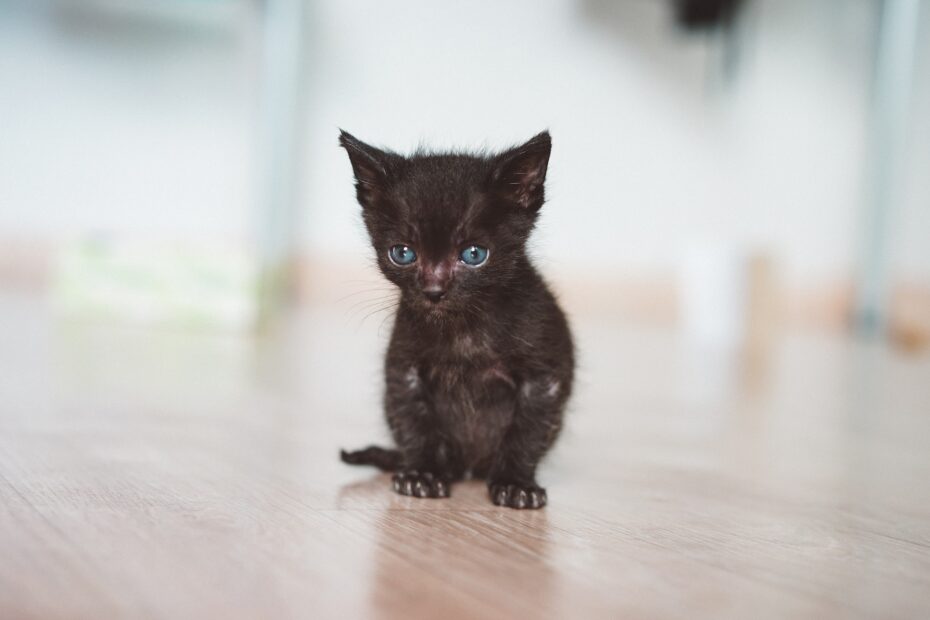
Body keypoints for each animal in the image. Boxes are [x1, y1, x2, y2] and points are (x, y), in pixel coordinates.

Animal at [338, 130, 572, 508]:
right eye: (402, 253)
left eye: (473, 254)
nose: (433, 290)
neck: (464, 331)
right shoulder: (404, 366)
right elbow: (414, 421)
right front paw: (423, 474)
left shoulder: (542, 374)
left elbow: (527, 431)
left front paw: (515, 484)